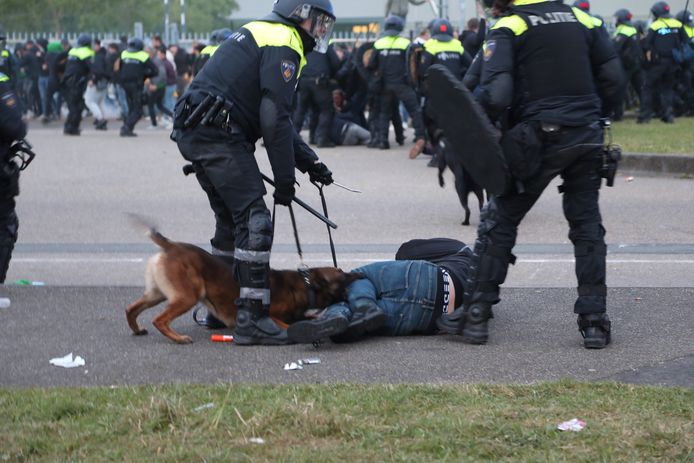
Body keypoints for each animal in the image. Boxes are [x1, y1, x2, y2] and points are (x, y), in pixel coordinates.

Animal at [126, 218, 364, 344]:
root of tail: (171, 245)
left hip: (157, 294)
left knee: (131, 308)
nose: (360, 274)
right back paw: (178, 338)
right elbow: (288, 324)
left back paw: (137, 330)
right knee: (159, 319)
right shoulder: (274, 316)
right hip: (187, 296)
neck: (306, 285)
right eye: (342, 273)